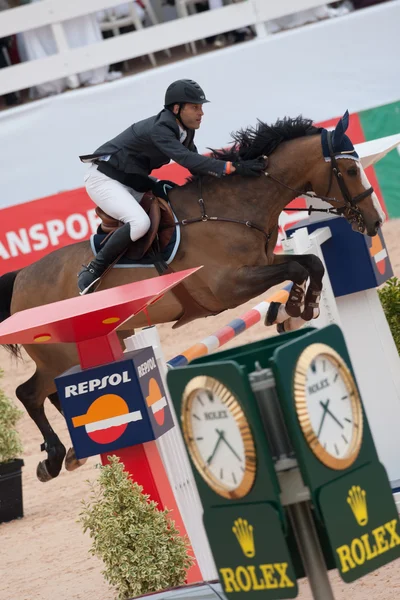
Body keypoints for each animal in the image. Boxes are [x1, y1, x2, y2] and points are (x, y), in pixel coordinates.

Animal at [0, 112, 384, 480]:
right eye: (351, 170)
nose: (375, 222)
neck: (233, 208)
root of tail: (21, 279)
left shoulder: (263, 262)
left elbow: (309, 264)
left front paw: (304, 306)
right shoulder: (228, 286)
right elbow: (295, 269)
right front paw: (292, 307)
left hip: (99, 343)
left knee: (49, 393)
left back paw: (74, 454)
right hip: (60, 354)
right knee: (30, 393)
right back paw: (52, 458)